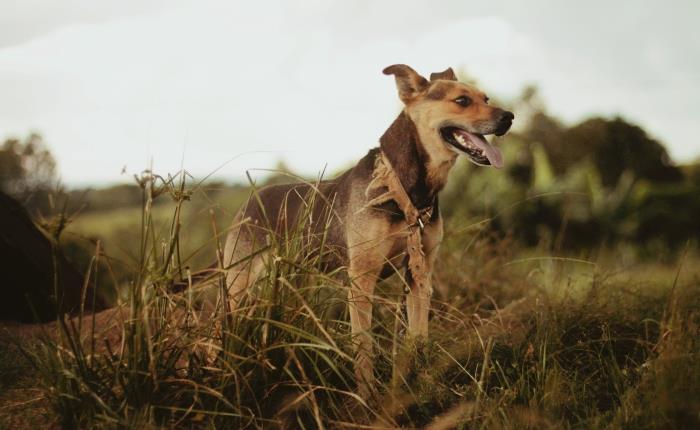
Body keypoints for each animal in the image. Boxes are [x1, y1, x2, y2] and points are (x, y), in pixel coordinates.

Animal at [224, 63, 516, 396]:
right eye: (462, 101)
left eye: (486, 98)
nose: (509, 117)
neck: (405, 188)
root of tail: (249, 204)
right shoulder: (362, 278)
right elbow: (363, 345)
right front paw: (367, 395)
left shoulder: (420, 274)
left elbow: (419, 336)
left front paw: (419, 384)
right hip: (239, 286)